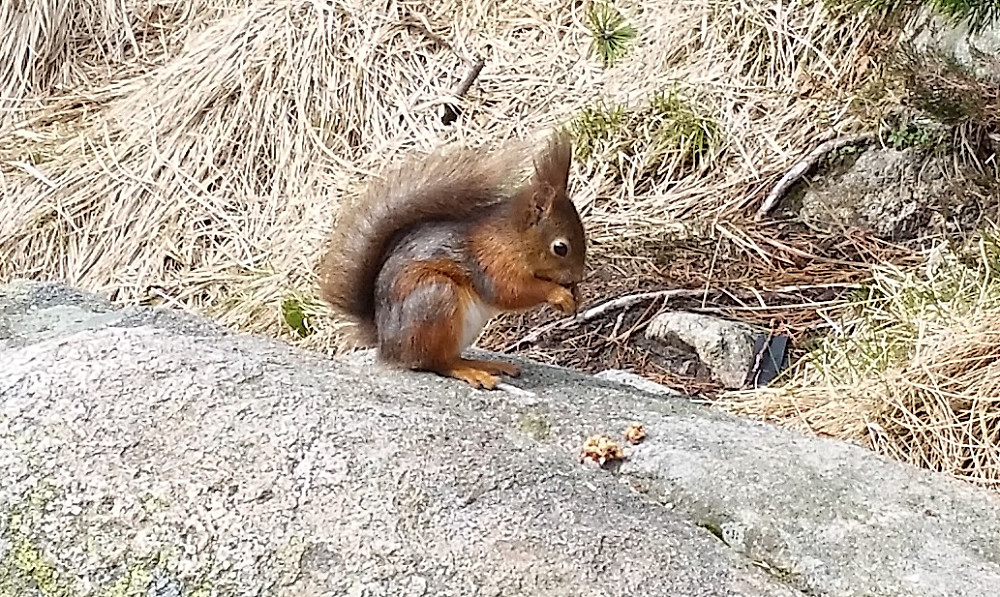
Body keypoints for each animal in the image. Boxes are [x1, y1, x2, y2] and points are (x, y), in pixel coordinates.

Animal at [318, 131, 584, 388]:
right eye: (560, 248)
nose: (577, 277)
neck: (512, 239)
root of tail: (385, 342)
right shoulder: (491, 263)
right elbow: (510, 291)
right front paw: (558, 294)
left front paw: (575, 296)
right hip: (436, 299)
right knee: (435, 363)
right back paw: (472, 373)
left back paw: (484, 364)